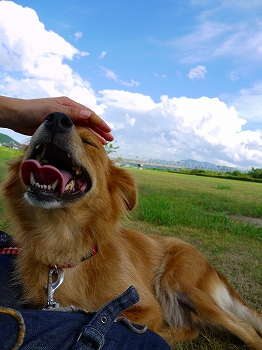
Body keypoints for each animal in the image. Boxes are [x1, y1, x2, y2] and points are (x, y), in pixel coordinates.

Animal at [1, 113, 262, 348]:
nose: (56, 118)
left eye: (90, 143)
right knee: (192, 329)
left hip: (181, 284)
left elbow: (109, 314)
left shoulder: (148, 307)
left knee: (245, 328)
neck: (63, 247)